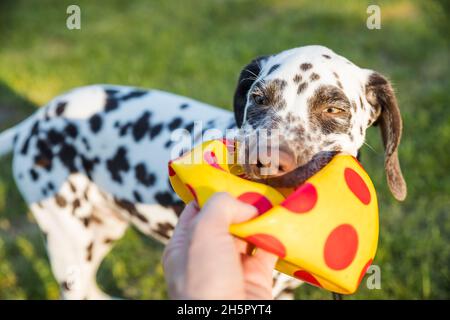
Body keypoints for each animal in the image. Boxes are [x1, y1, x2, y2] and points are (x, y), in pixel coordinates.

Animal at [0, 45, 408, 300]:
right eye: (258, 98)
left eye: (334, 109)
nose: (266, 160)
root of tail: (35, 121)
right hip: (68, 242)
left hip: (102, 231)